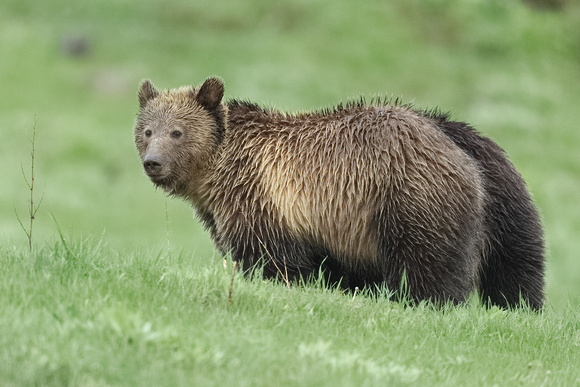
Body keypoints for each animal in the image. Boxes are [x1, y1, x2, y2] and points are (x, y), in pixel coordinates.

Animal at [134, 77, 548, 310]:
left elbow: (272, 258)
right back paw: (519, 307)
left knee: (427, 264)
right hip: (509, 200)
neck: (216, 172)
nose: (153, 162)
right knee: (518, 264)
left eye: (177, 132)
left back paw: (426, 302)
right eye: (147, 131)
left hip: (409, 197)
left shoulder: (264, 197)